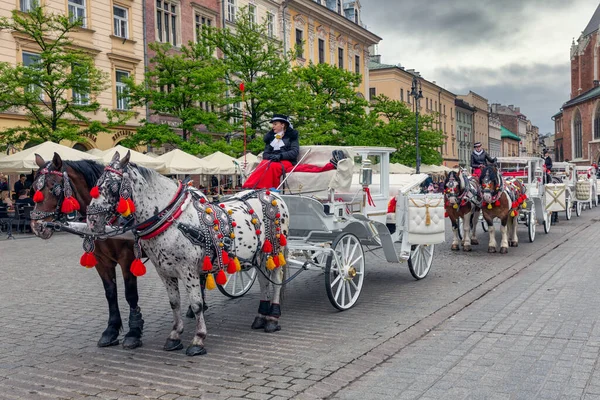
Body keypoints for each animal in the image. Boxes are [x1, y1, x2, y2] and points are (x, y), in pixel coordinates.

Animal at [29, 152, 144, 348]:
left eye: (55, 189)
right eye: (33, 188)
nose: (38, 227)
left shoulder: (128, 258)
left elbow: (130, 294)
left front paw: (134, 332)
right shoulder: (101, 260)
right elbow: (110, 293)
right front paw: (111, 330)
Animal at [85, 152, 290, 354]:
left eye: (112, 186)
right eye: (96, 184)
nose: (92, 221)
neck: (173, 221)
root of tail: (271, 193)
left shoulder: (188, 270)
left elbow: (196, 304)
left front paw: (198, 340)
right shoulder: (164, 271)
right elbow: (175, 303)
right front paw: (175, 336)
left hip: (275, 250)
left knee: (276, 279)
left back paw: (272, 318)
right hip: (259, 256)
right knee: (264, 281)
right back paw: (261, 316)